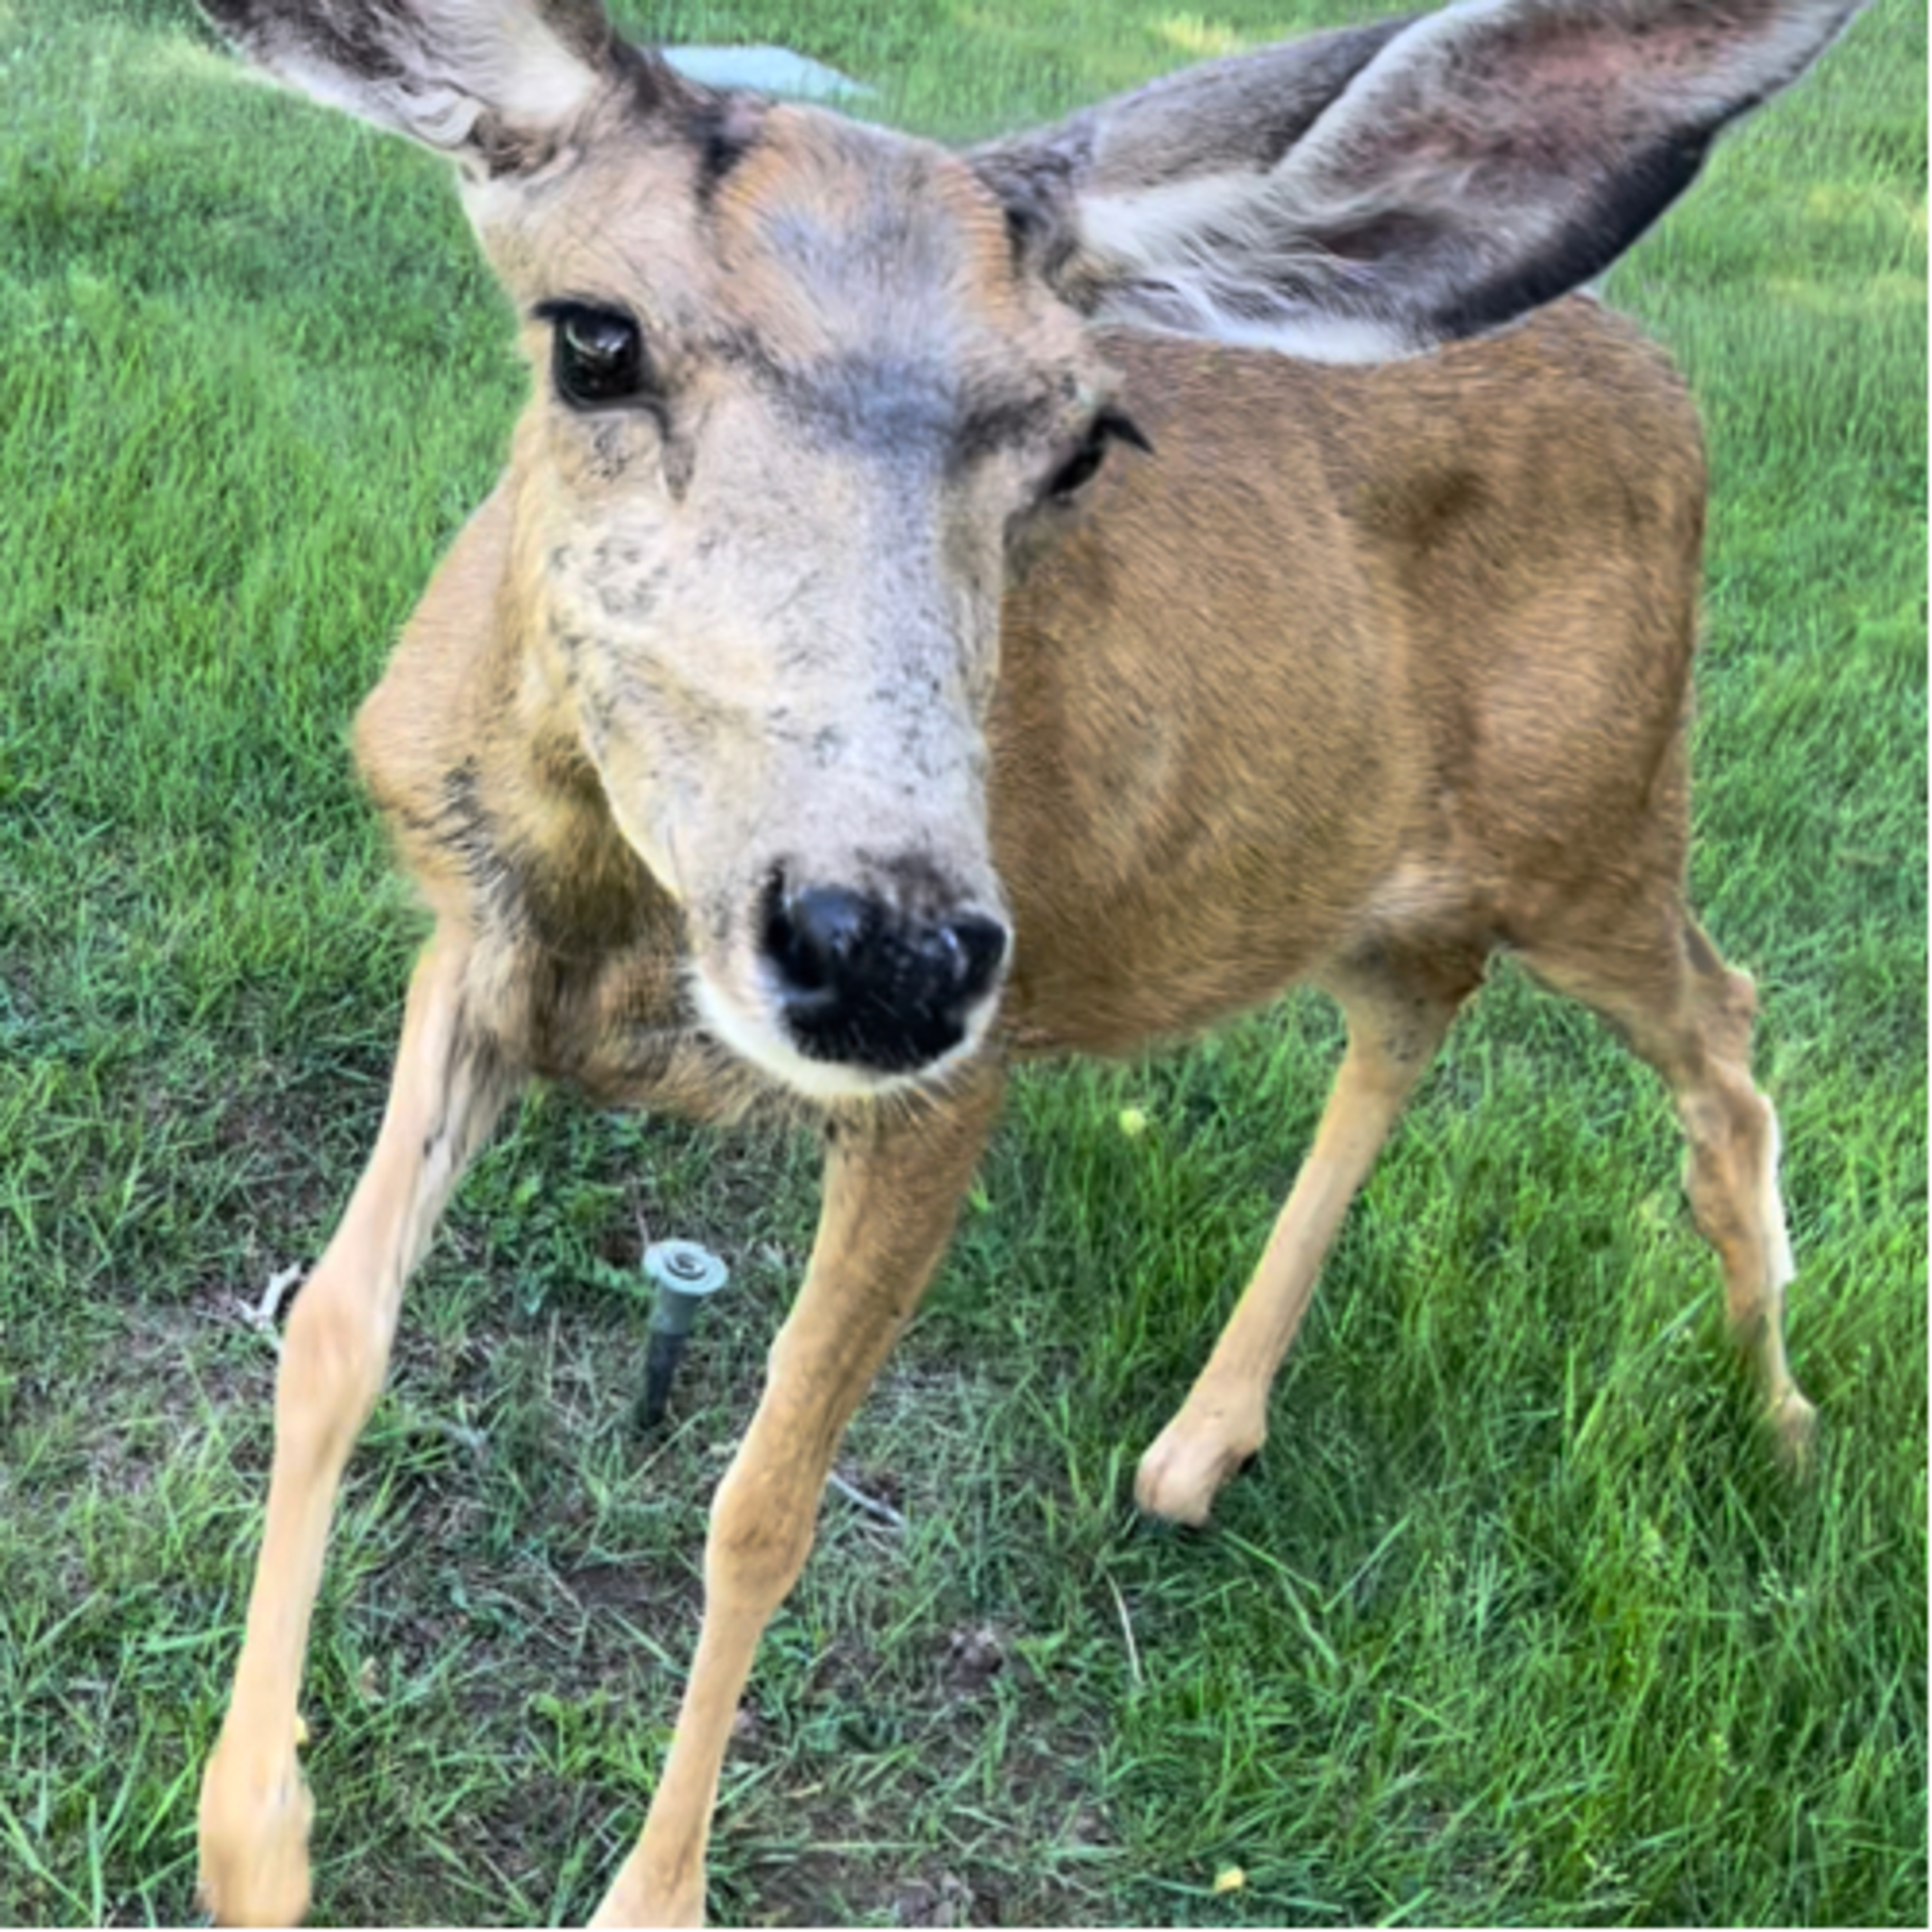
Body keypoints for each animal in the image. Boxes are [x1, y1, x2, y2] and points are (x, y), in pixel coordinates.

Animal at [189, 1, 1860, 1922]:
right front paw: (254, 1838)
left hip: (1602, 812)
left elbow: (765, 1500)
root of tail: (1663, 380)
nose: (887, 951)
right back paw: (1200, 1447)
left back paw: (1784, 1417)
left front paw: (649, 1895)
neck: (621, 925)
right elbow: (331, 1329)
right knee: (1411, 1015)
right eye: (592, 339)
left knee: (1725, 1025)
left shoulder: (953, 1086)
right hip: (1383, 867)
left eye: (1082, 443)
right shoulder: (471, 938)